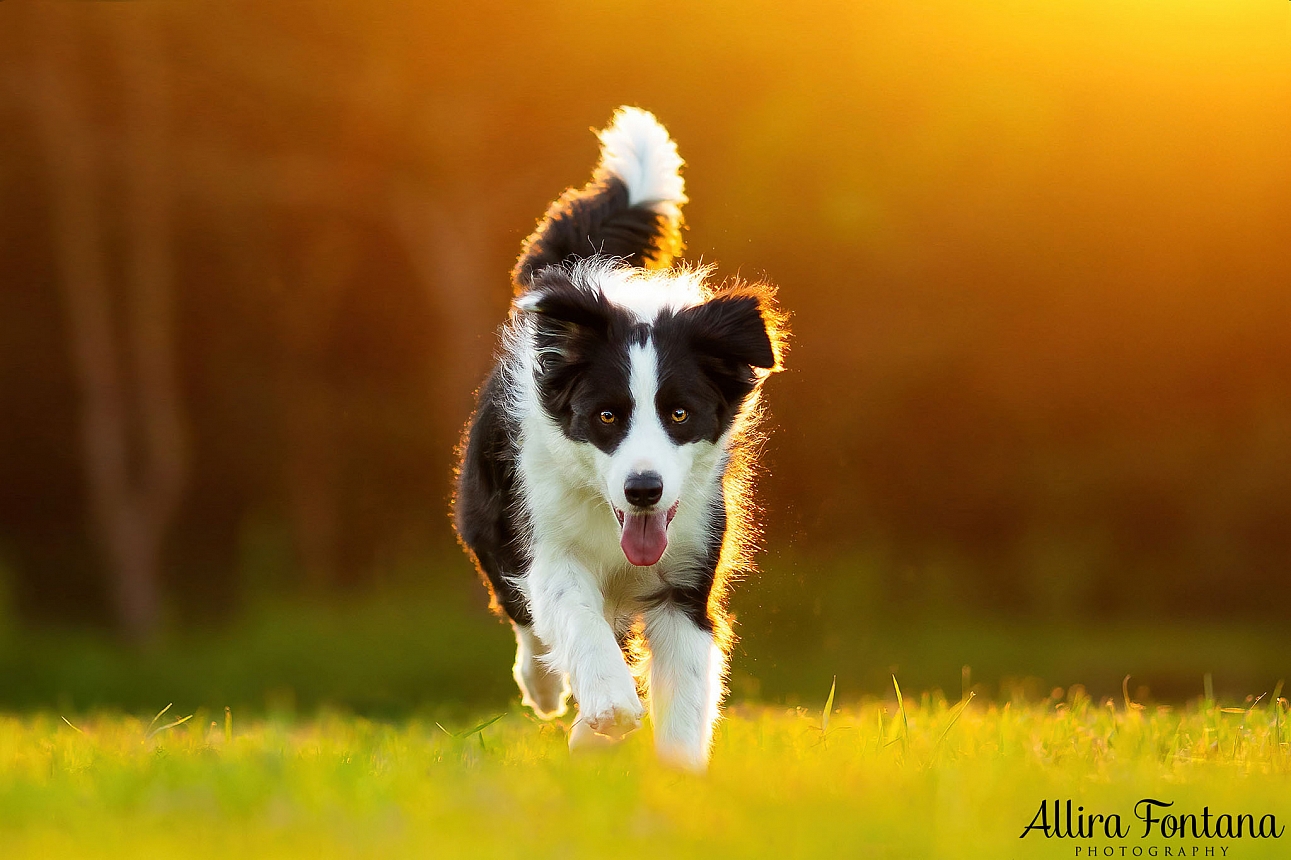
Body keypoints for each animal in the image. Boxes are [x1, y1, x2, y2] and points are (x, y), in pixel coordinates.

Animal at [459, 103, 790, 764]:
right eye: (606, 416)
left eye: (680, 415)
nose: (643, 490)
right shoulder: (549, 539)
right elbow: (571, 614)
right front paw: (610, 708)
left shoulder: (687, 575)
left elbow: (685, 686)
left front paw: (675, 772)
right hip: (489, 515)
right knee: (524, 612)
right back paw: (547, 693)